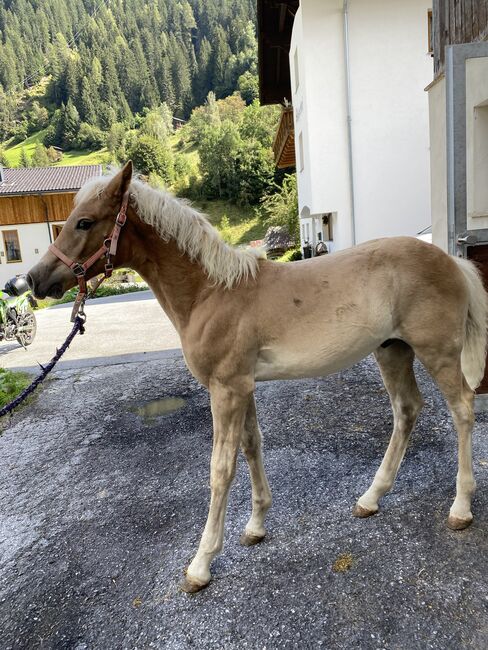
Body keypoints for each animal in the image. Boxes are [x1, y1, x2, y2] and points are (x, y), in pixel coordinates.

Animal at [27, 163, 488, 592]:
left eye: (85, 222)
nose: (33, 280)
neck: (211, 293)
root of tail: (452, 260)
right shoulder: (241, 386)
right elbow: (251, 447)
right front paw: (255, 527)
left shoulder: (226, 390)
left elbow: (220, 468)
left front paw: (201, 564)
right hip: (392, 350)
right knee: (407, 410)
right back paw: (371, 498)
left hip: (437, 353)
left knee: (463, 409)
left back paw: (460, 508)